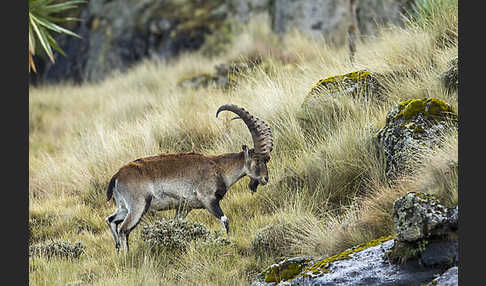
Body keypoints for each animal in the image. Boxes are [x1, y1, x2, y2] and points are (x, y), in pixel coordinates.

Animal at [105, 104, 274, 250]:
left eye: (267, 159)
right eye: (257, 159)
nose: (265, 179)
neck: (219, 167)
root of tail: (117, 176)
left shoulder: (184, 208)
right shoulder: (208, 199)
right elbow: (225, 221)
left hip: (124, 207)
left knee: (111, 220)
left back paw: (118, 249)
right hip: (138, 206)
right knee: (123, 230)